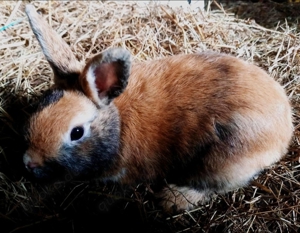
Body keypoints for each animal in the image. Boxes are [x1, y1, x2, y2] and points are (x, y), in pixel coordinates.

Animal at [22, 4, 292, 213]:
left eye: (76, 132)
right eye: (38, 109)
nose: (29, 162)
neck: (118, 124)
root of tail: (285, 128)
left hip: (224, 160)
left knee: (211, 186)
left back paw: (171, 198)